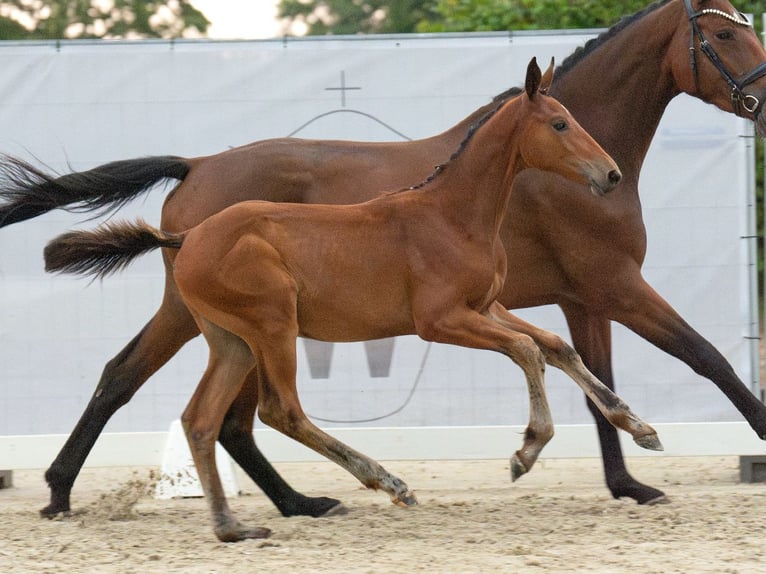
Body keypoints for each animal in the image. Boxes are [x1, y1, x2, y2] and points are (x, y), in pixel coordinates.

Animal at [1, 0, 766, 516]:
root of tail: (195, 166)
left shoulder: (579, 297)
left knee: (216, 413)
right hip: (227, 319)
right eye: (724, 32)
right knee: (150, 385)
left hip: (230, 326)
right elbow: (707, 359)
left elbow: (586, 369)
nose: (761, 96)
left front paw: (628, 474)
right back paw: (64, 491)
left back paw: (297, 502)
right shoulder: (614, 285)